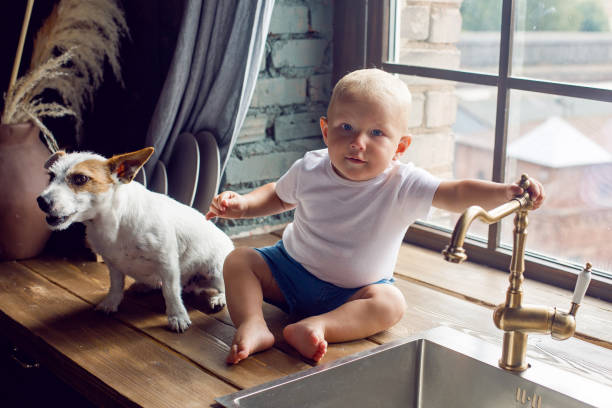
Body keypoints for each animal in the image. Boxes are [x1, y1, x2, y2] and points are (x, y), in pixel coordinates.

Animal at [37, 147, 234, 332]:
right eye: (51, 176)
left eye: (81, 179)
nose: (41, 200)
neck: (112, 223)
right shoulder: (112, 264)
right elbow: (116, 285)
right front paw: (110, 303)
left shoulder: (167, 263)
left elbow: (170, 292)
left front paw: (177, 316)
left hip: (216, 269)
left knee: (224, 287)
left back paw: (219, 298)